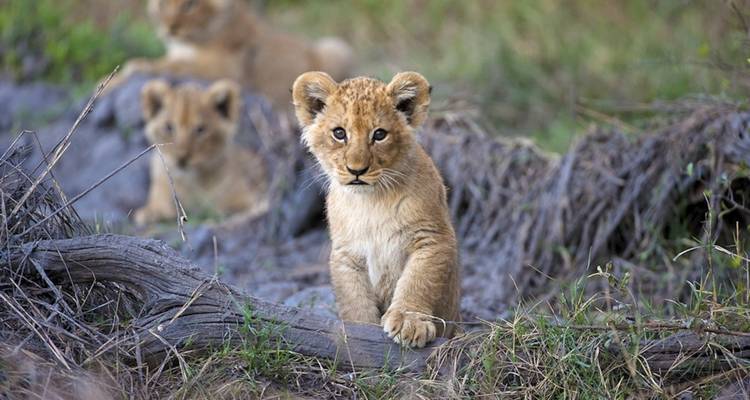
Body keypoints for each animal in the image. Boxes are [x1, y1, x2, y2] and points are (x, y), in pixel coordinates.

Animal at [134, 79, 269, 225]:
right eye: (169, 127)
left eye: (200, 129)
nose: (182, 157)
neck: (191, 181)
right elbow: (157, 208)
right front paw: (150, 214)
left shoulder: (249, 198)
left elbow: (233, 209)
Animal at [292, 71, 461, 348]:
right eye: (339, 133)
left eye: (379, 134)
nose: (356, 170)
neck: (371, 201)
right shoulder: (346, 253)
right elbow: (354, 298)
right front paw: (361, 332)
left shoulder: (433, 238)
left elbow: (418, 280)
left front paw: (409, 322)